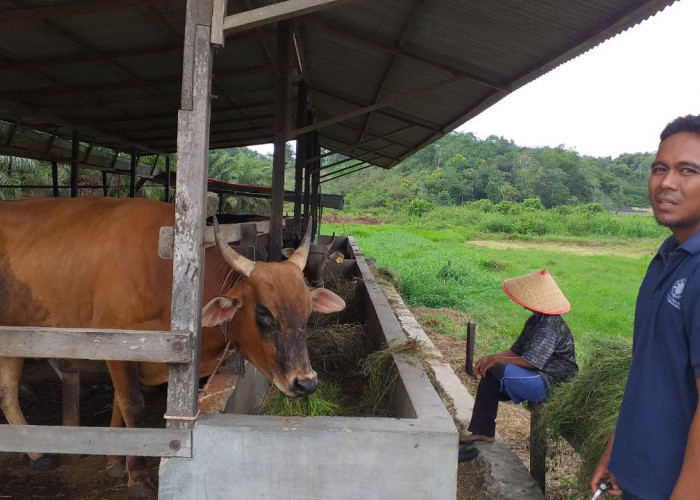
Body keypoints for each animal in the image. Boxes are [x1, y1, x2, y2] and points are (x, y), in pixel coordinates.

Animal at [0, 197, 344, 498]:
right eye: (263, 312)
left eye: (307, 310)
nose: (306, 383)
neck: (166, 274)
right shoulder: (118, 345)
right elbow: (132, 405)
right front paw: (137, 477)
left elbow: (119, 402)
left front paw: (115, 461)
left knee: (7, 393)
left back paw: (35, 453)